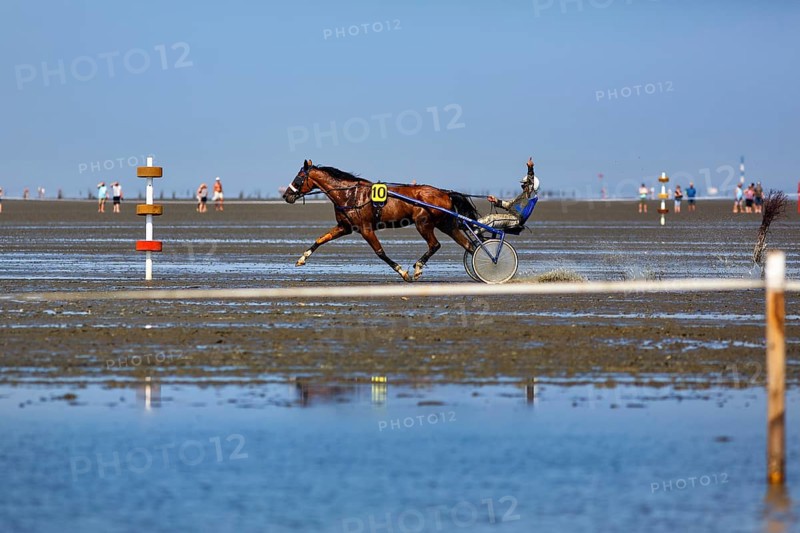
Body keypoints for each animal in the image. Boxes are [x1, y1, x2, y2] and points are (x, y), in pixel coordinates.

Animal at [282, 160, 479, 282]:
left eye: (298, 178)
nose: (286, 195)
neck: (349, 195)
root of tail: (445, 192)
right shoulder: (344, 227)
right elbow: (321, 239)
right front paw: (301, 259)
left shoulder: (365, 229)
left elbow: (380, 252)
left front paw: (404, 273)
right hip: (446, 224)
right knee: (469, 246)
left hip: (423, 223)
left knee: (435, 245)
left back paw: (418, 268)